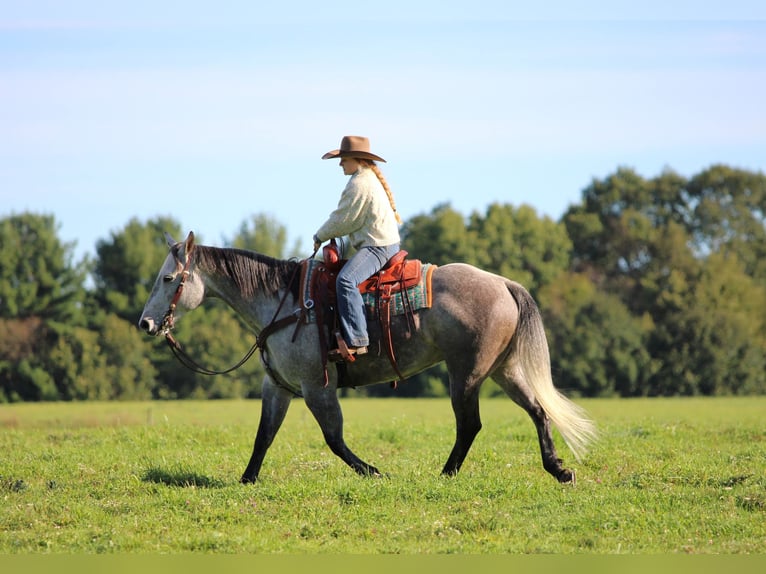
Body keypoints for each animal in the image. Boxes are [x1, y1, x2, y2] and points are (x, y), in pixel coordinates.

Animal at [138, 231, 596, 484]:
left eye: (168, 278)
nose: (146, 323)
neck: (283, 303)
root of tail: (502, 282)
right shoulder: (278, 387)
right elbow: (263, 435)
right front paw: (247, 479)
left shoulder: (317, 387)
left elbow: (334, 438)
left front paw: (374, 472)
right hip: (503, 369)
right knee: (538, 411)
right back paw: (558, 469)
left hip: (466, 374)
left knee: (470, 425)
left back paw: (446, 474)